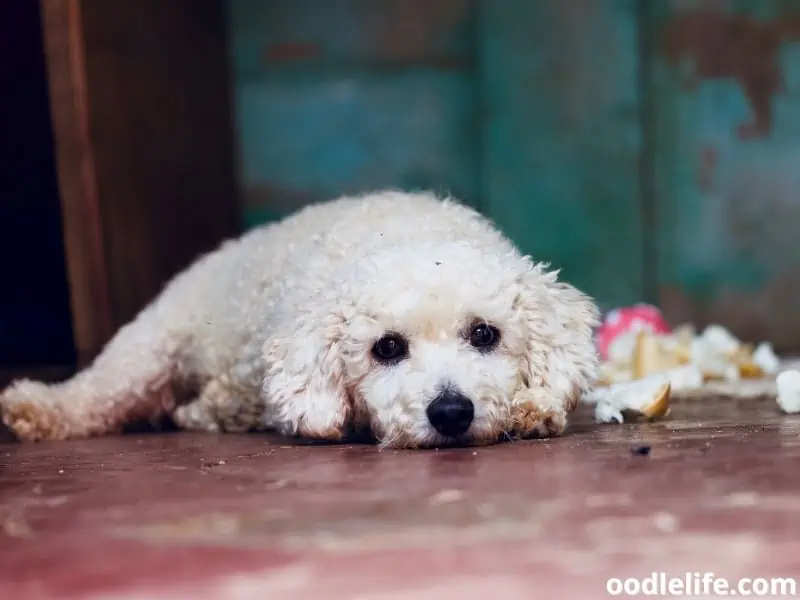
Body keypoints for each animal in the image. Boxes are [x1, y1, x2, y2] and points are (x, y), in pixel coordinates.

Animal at [0, 190, 600, 448]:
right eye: (386, 348)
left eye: (484, 334)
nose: (451, 412)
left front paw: (532, 409)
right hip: (151, 345)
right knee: (101, 392)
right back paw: (38, 407)